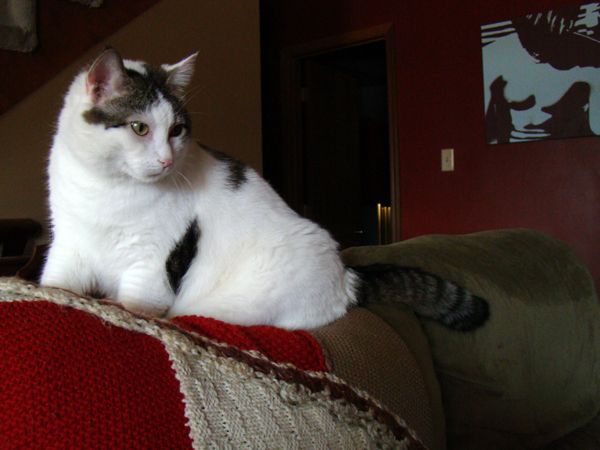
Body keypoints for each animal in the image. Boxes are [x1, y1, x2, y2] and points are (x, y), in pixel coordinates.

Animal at [42, 50, 490, 330]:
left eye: (177, 130)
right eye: (139, 127)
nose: (168, 161)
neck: (105, 188)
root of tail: (346, 276)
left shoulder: (152, 261)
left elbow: (137, 301)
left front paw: (117, 309)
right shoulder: (68, 244)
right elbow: (54, 283)